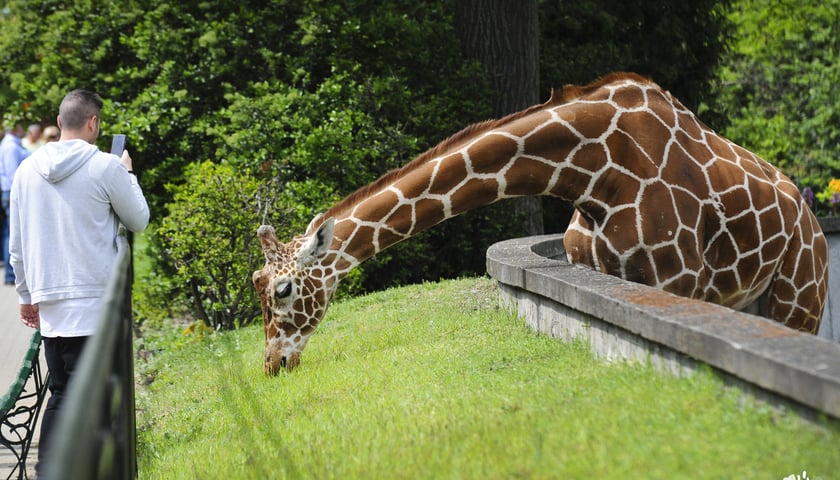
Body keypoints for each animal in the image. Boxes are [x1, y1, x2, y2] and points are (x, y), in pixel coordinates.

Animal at [251, 71, 828, 376]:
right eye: (258, 283)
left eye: (282, 290)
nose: (273, 364)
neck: (591, 172)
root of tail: (813, 219)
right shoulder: (600, 268)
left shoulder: (677, 279)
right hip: (746, 298)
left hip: (801, 301)